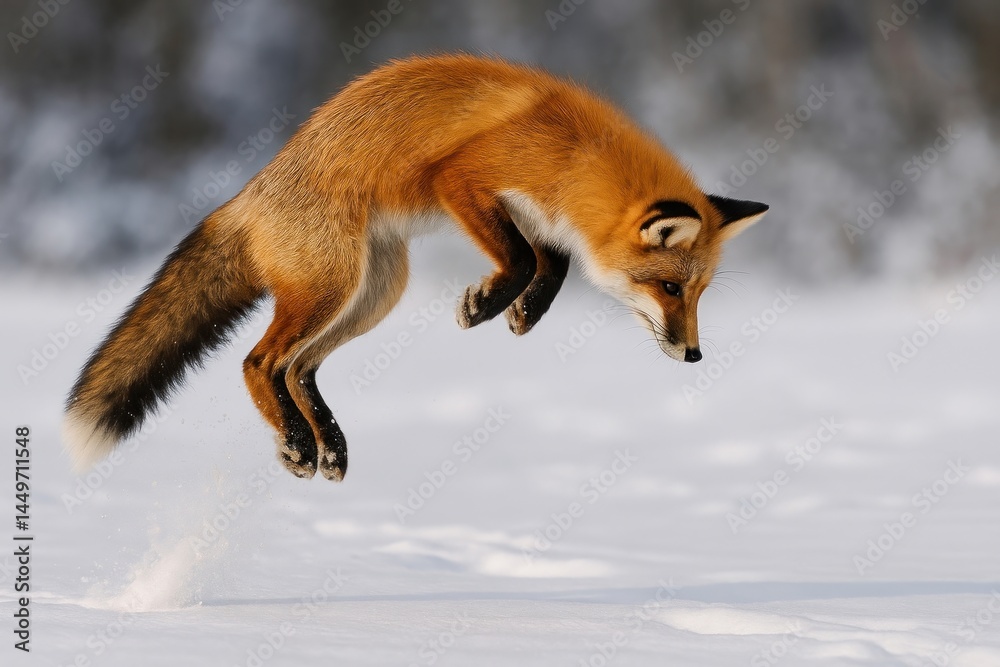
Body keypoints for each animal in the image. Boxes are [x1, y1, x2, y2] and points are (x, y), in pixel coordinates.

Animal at [64, 54, 767, 482]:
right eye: (670, 287)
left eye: (699, 293)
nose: (695, 355)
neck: (575, 155)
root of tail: (250, 192)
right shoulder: (463, 179)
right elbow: (519, 256)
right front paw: (488, 304)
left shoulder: (539, 218)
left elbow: (556, 261)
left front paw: (525, 310)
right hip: (332, 287)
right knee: (259, 363)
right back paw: (296, 443)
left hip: (375, 293)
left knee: (299, 367)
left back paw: (328, 444)